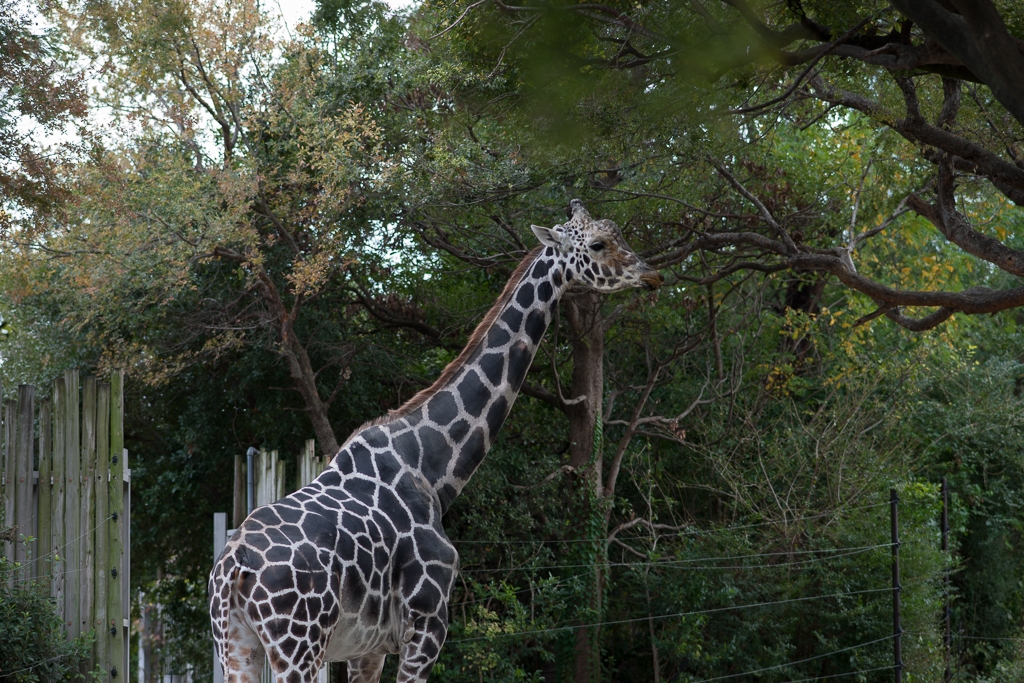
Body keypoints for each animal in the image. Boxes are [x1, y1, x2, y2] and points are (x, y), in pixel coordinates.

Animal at [209, 199, 664, 683]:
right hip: (298, 646)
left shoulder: (368, 649)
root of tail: (233, 568)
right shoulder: (428, 624)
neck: (433, 470)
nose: (652, 274)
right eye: (597, 244)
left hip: (237, 647)